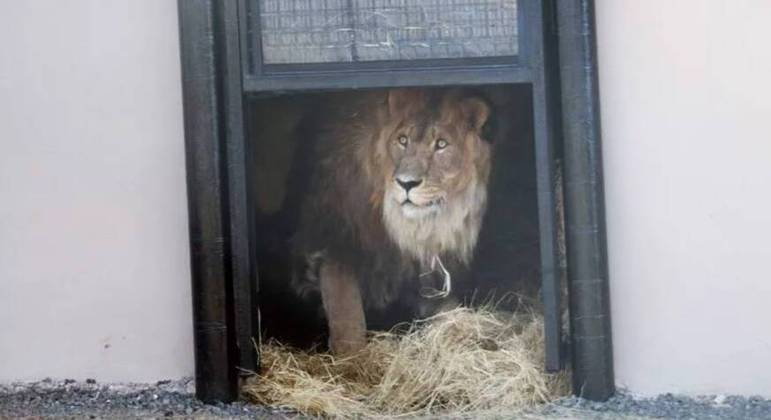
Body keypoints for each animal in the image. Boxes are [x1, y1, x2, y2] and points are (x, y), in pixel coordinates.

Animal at [292, 88, 492, 354]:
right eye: (403, 140)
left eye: (441, 144)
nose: (406, 183)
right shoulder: (333, 239)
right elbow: (346, 309)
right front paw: (352, 358)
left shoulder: (424, 269)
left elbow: (448, 308)